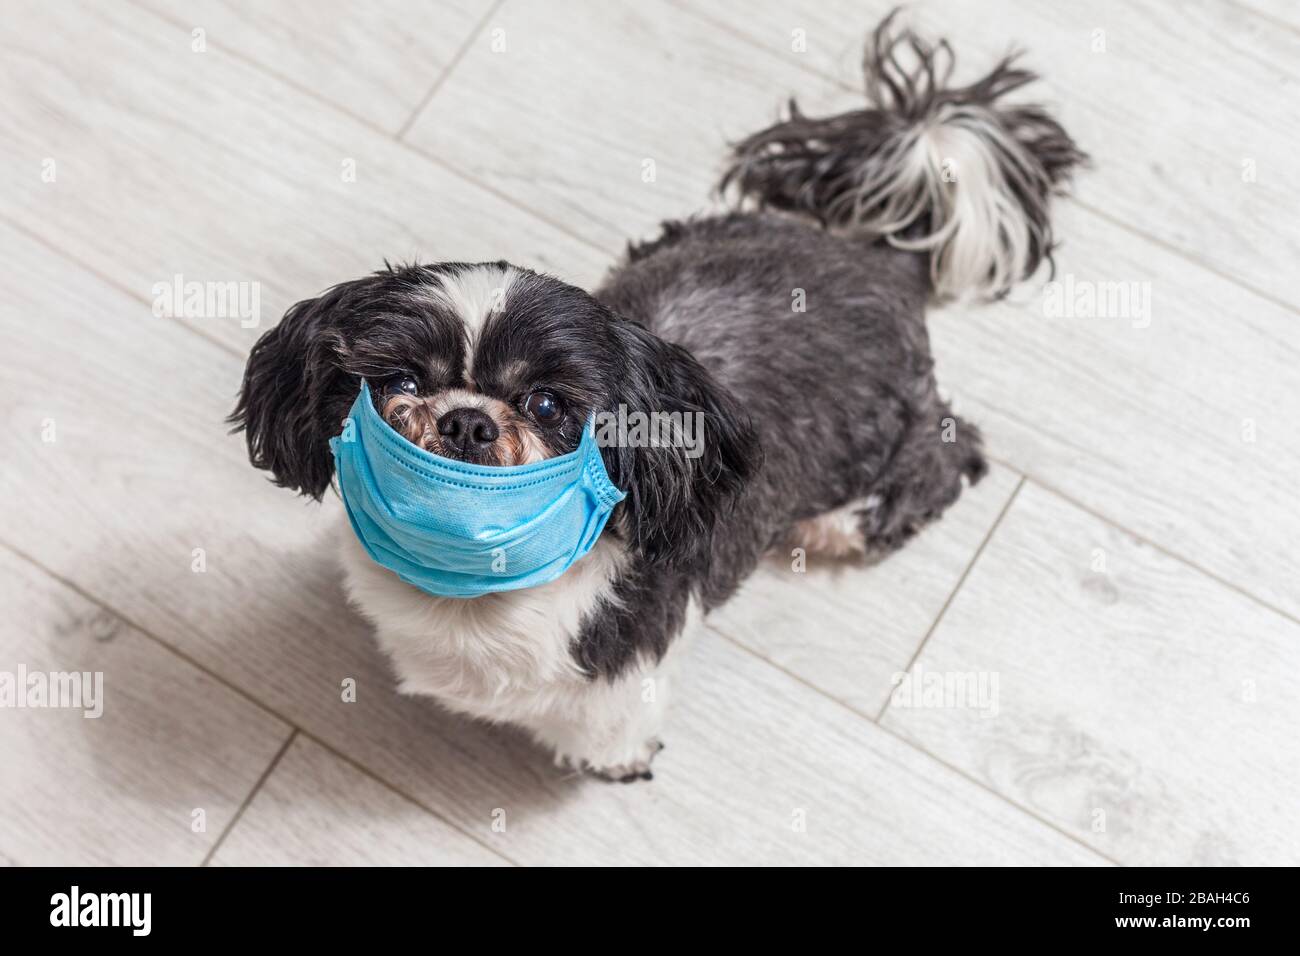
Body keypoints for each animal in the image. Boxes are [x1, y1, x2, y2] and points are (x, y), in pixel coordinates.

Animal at [233, 14, 1086, 780]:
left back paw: (846, 521)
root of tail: (874, 253)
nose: (468, 421)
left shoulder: (626, 665)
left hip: (883, 435)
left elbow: (607, 727)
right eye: (401, 383)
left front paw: (612, 763)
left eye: (549, 406)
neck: (480, 586)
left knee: (947, 451)